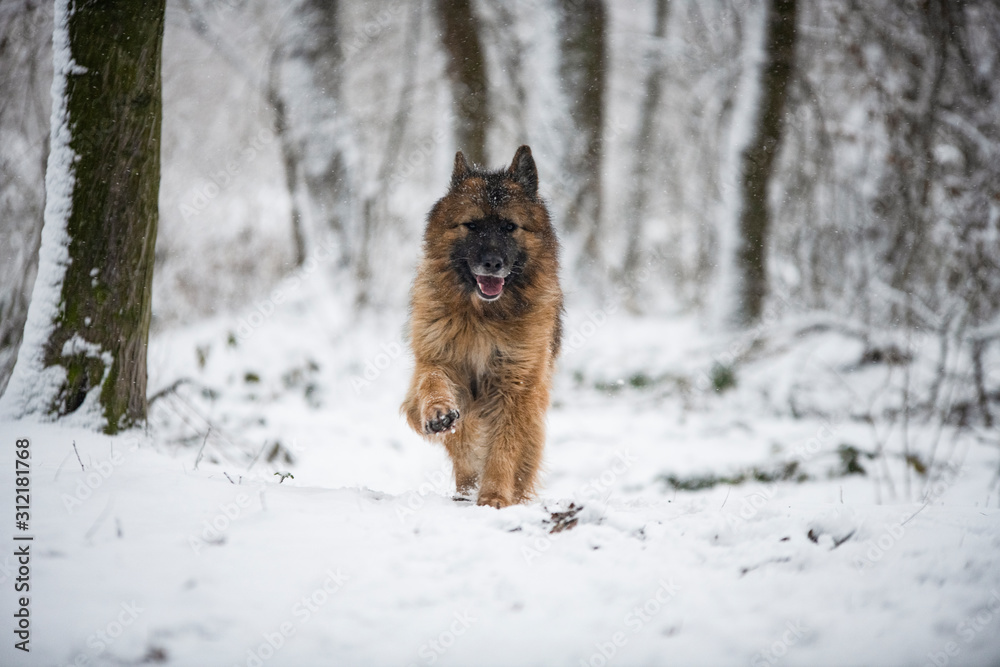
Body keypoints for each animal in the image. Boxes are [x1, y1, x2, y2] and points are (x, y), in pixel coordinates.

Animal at [404, 146, 564, 508]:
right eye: (472, 225)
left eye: (508, 226)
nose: (492, 263)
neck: (482, 319)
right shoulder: (436, 360)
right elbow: (433, 384)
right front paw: (438, 412)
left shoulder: (515, 387)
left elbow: (503, 447)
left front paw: (493, 497)